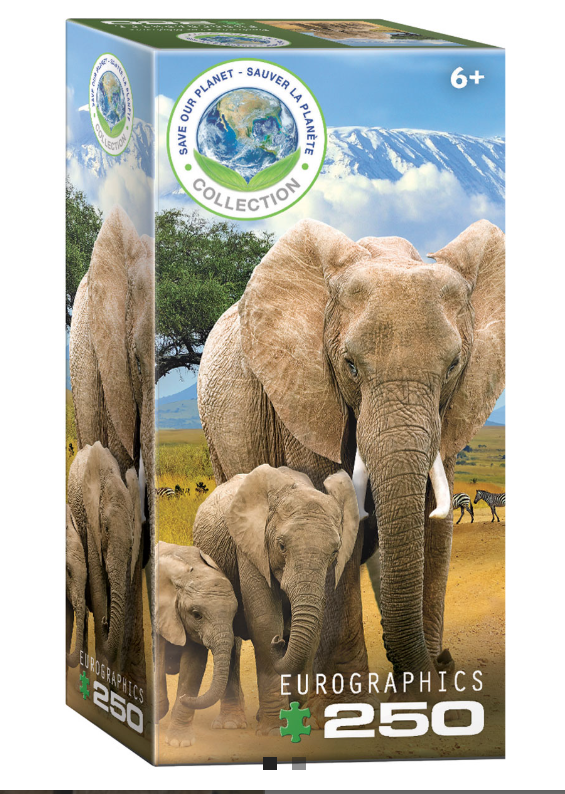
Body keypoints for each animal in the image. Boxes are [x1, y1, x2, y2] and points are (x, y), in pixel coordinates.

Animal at [191, 464, 360, 735]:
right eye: (281, 546)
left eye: (335, 551)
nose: (279, 642)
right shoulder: (249, 545)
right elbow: (265, 621)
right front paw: (272, 730)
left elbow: (314, 628)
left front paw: (298, 722)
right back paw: (231, 724)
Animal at [198, 217, 505, 701]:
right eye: (351, 366)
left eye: (455, 365)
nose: (443, 660)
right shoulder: (306, 394)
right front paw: (342, 699)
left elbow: (434, 525)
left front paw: (423, 700)